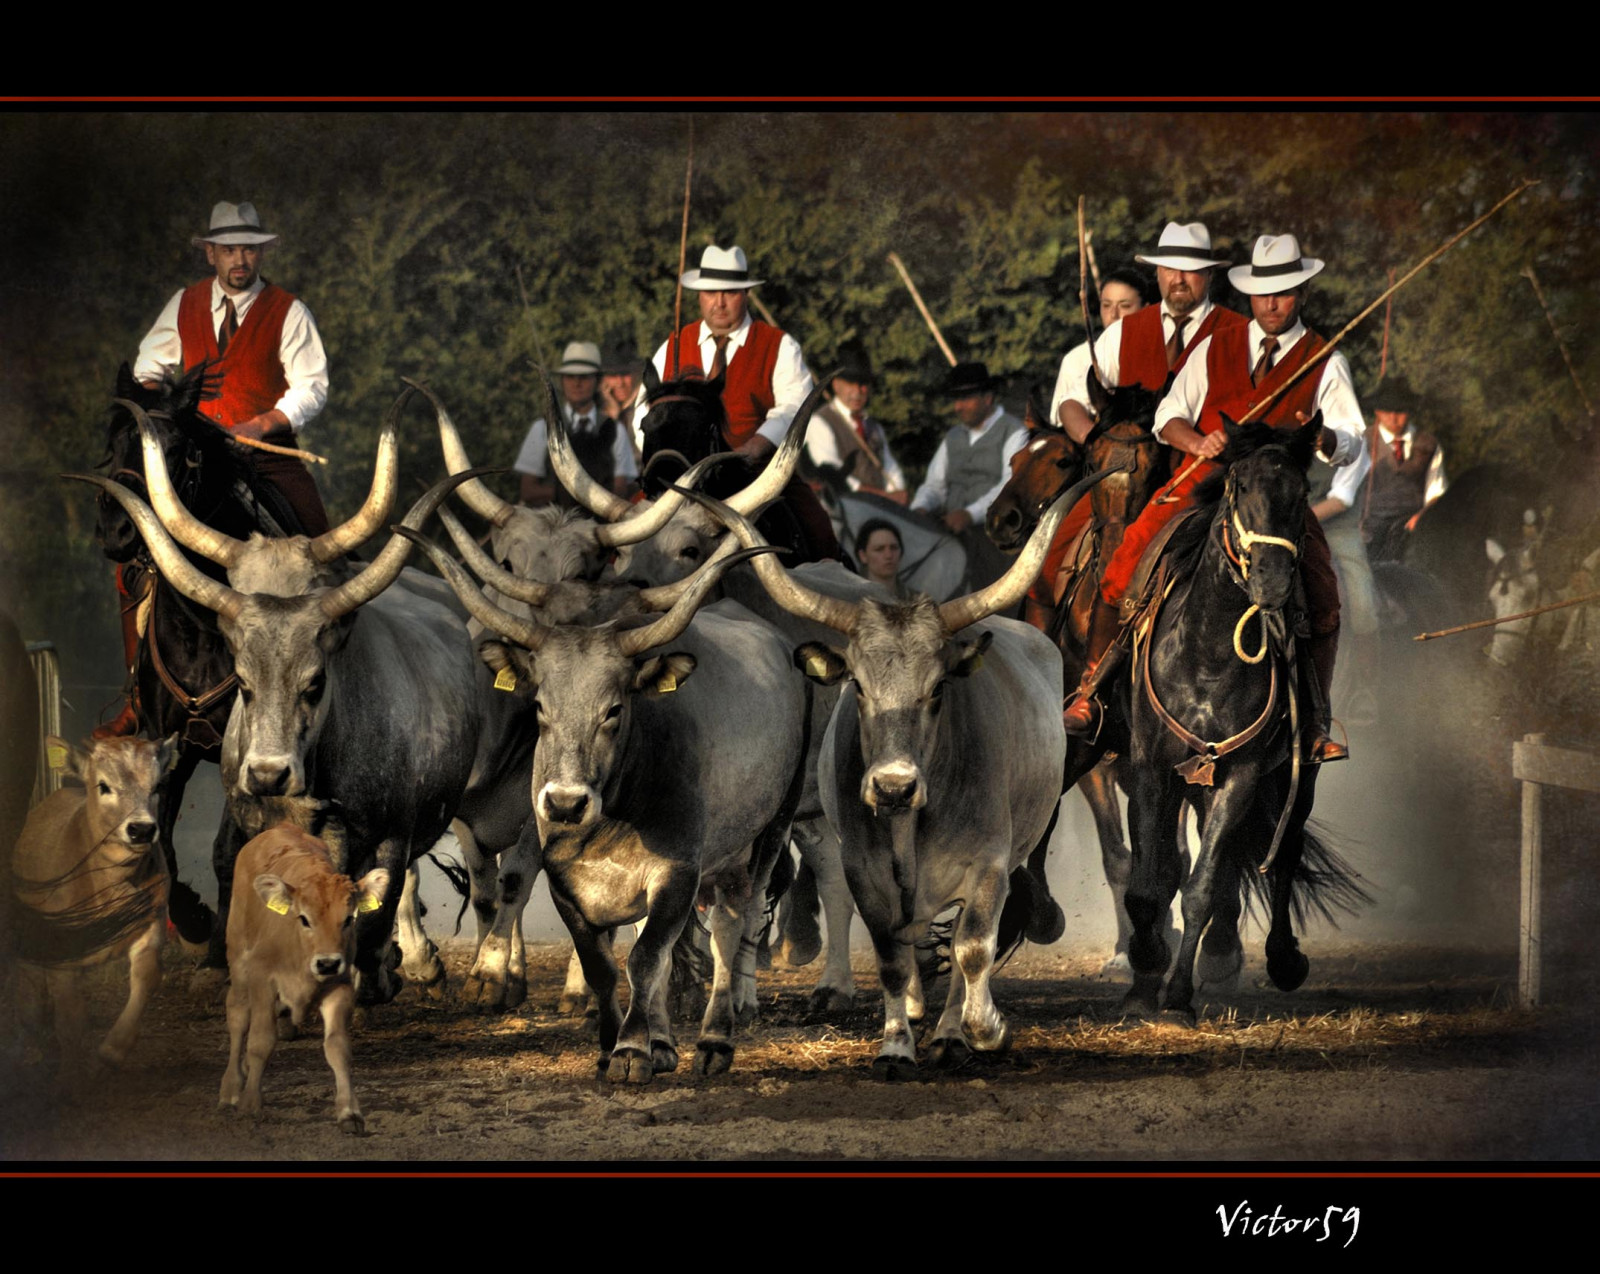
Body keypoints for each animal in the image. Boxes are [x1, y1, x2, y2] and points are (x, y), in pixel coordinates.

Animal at [1117, 415, 1368, 1022]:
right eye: (1241, 486)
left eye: (1300, 495)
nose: (1273, 584)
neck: (1207, 654)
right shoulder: (1150, 768)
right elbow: (1149, 884)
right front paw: (1145, 976)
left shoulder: (1243, 775)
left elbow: (1203, 885)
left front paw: (1177, 996)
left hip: (1297, 776)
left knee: (1284, 853)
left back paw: (1281, 958)